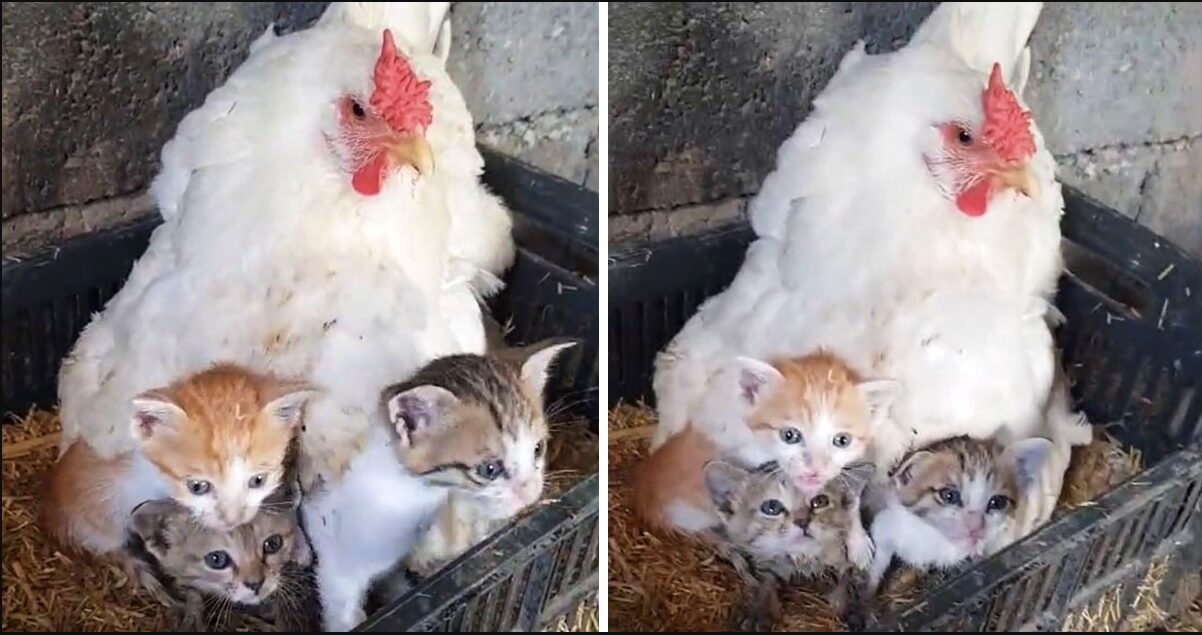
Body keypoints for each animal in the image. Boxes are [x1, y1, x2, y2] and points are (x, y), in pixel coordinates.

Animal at [701, 459, 875, 630]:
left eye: (819, 501)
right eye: (772, 507)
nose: (802, 521)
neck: (804, 559)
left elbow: (849, 578)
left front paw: (853, 607)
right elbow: (767, 579)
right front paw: (760, 609)